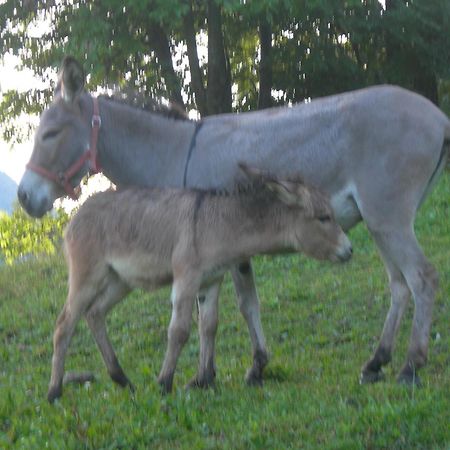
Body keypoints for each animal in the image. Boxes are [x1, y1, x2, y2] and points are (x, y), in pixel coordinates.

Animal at [49, 164, 352, 400]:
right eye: (324, 217)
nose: (349, 250)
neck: (216, 223)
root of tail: (75, 217)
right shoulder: (186, 278)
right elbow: (180, 330)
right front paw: (164, 383)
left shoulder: (211, 281)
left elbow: (209, 325)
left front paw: (204, 380)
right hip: (87, 277)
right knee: (64, 324)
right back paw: (54, 392)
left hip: (120, 281)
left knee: (95, 313)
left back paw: (122, 379)